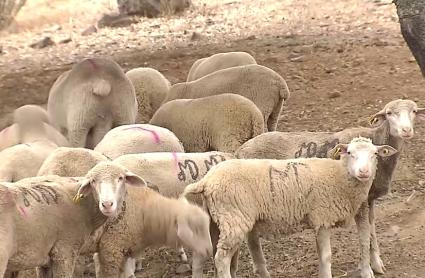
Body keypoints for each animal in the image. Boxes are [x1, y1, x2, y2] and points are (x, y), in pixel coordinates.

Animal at [182, 137, 398, 278]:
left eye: (375, 154)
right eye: (350, 153)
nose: (364, 172)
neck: (339, 175)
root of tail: (207, 181)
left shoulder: (355, 209)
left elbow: (363, 241)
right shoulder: (322, 217)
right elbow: (326, 256)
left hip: (216, 221)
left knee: (201, 256)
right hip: (233, 219)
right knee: (221, 259)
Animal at [235, 99, 424, 276]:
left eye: (414, 111)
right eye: (389, 113)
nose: (407, 131)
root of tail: (240, 150)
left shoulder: (369, 200)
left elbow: (372, 231)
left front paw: (377, 263)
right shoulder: (360, 201)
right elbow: (365, 235)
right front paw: (368, 268)